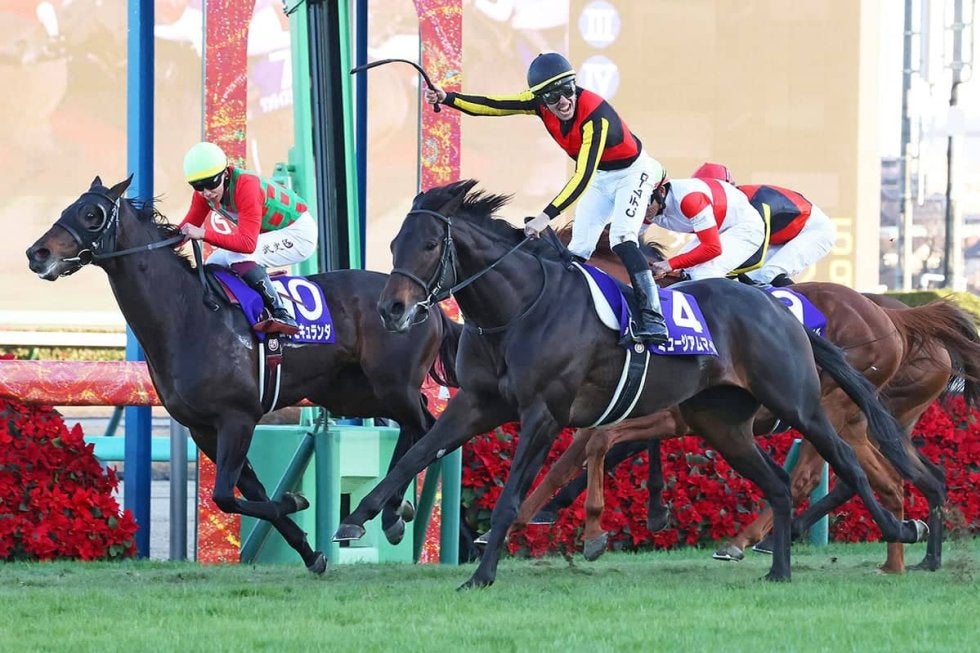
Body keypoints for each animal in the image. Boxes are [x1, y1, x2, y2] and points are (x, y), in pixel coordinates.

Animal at [25, 176, 461, 573]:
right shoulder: (202, 427)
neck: (187, 316)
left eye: (92, 214)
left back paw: (387, 513)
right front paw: (309, 549)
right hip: (353, 393)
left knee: (427, 427)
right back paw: (389, 515)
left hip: (392, 384)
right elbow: (249, 491)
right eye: (68, 207)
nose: (36, 252)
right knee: (415, 425)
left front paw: (295, 501)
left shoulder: (237, 417)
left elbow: (225, 496)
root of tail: (426, 302)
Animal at [331, 179, 926, 588]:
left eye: (431, 244)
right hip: (722, 423)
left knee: (845, 465)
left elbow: (513, 493)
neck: (520, 309)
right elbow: (416, 454)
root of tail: (781, 310)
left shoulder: (544, 414)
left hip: (799, 403)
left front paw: (482, 573)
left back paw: (903, 532)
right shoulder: (478, 404)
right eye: (395, 242)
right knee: (779, 485)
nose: (391, 310)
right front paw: (358, 521)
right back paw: (777, 569)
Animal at [515, 227, 980, 570]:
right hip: (882, 417)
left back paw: (753, 540)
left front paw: (532, 516)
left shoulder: (665, 416)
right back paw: (908, 556)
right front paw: (648, 509)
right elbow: (601, 448)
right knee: (905, 473)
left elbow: (581, 450)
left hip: (833, 409)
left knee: (816, 476)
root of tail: (897, 320)